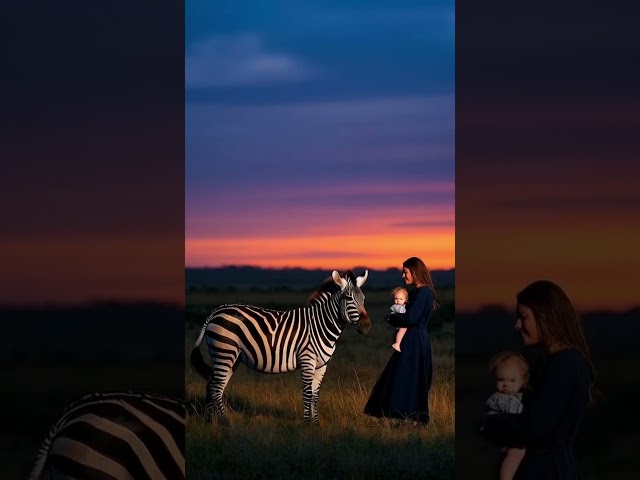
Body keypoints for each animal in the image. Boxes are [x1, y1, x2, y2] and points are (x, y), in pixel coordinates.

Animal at [190, 268, 370, 426]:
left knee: (212, 386)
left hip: (231, 357)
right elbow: (307, 393)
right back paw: (226, 424)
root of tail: (216, 311)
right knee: (215, 387)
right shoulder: (307, 360)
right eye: (348, 298)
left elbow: (315, 395)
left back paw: (209, 422)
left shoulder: (321, 365)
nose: (366, 326)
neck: (320, 325)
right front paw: (306, 425)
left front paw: (316, 425)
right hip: (225, 352)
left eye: (363, 299)